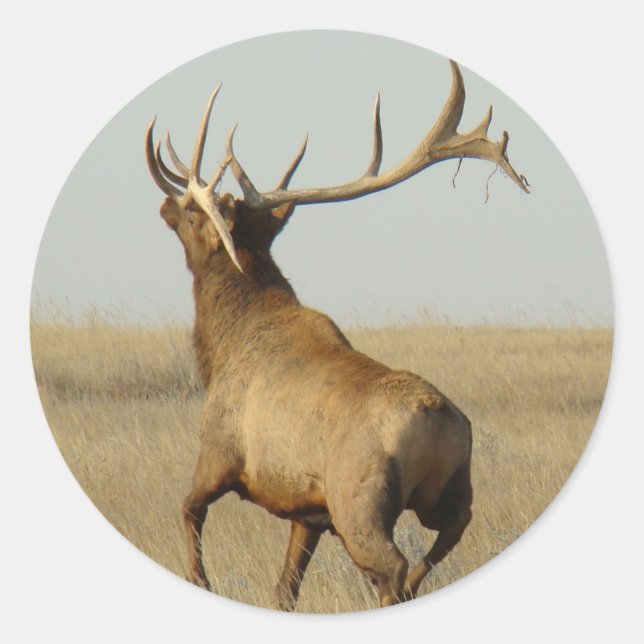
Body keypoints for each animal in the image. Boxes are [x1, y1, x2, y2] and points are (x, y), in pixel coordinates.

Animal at [145, 60, 528, 611]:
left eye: (196, 212)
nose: (165, 205)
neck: (219, 349)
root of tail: (436, 421)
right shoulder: (309, 512)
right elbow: (284, 590)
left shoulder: (219, 453)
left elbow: (188, 512)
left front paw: (203, 583)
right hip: (449, 491)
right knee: (444, 541)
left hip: (359, 501)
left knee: (393, 567)